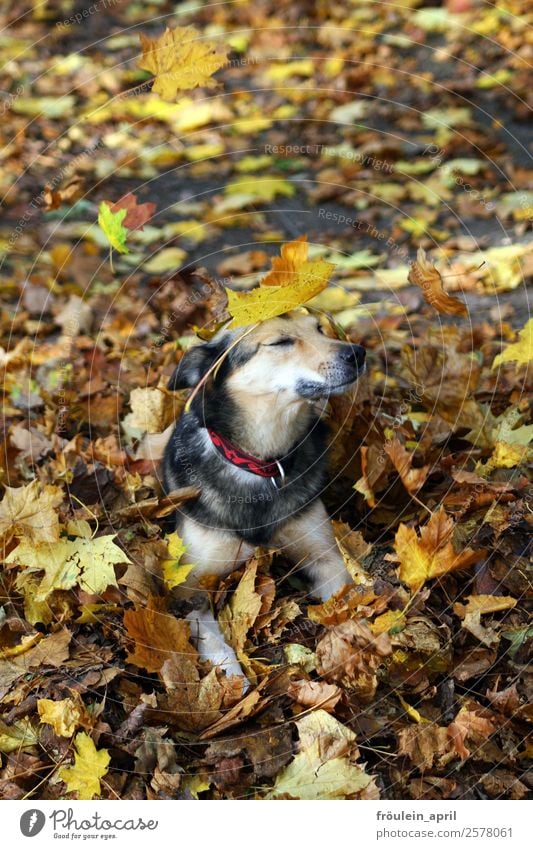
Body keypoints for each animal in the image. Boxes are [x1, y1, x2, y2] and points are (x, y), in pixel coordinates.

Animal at [163, 310, 366, 684]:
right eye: (281, 342)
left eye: (319, 329)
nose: (358, 353)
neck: (262, 464)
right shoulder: (188, 586)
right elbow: (210, 635)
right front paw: (228, 674)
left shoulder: (325, 557)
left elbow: (343, 598)